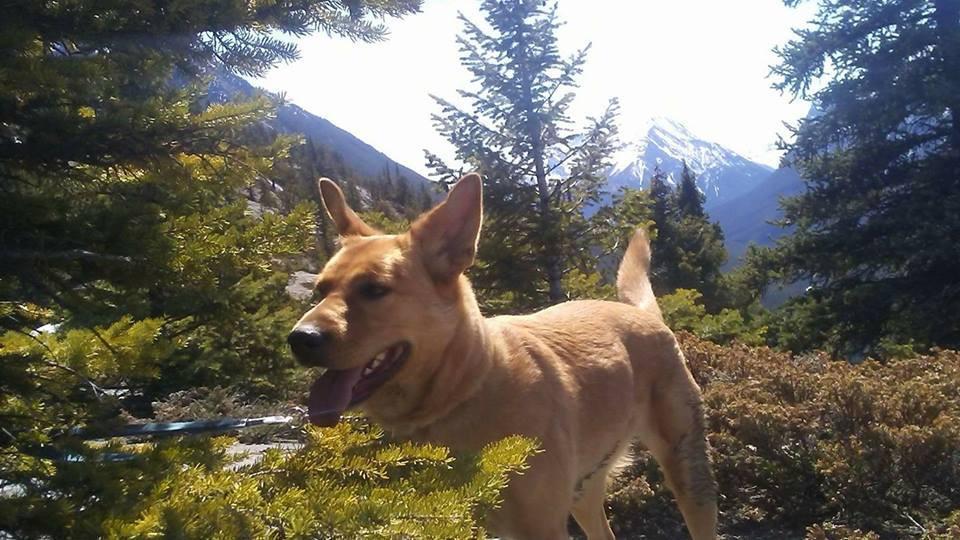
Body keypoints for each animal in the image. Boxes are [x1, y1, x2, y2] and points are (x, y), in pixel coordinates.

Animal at [288, 174, 716, 540]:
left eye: (374, 289)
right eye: (320, 291)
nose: (299, 339)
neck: (464, 389)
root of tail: (643, 314)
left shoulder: (541, 527)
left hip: (687, 471)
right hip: (585, 489)